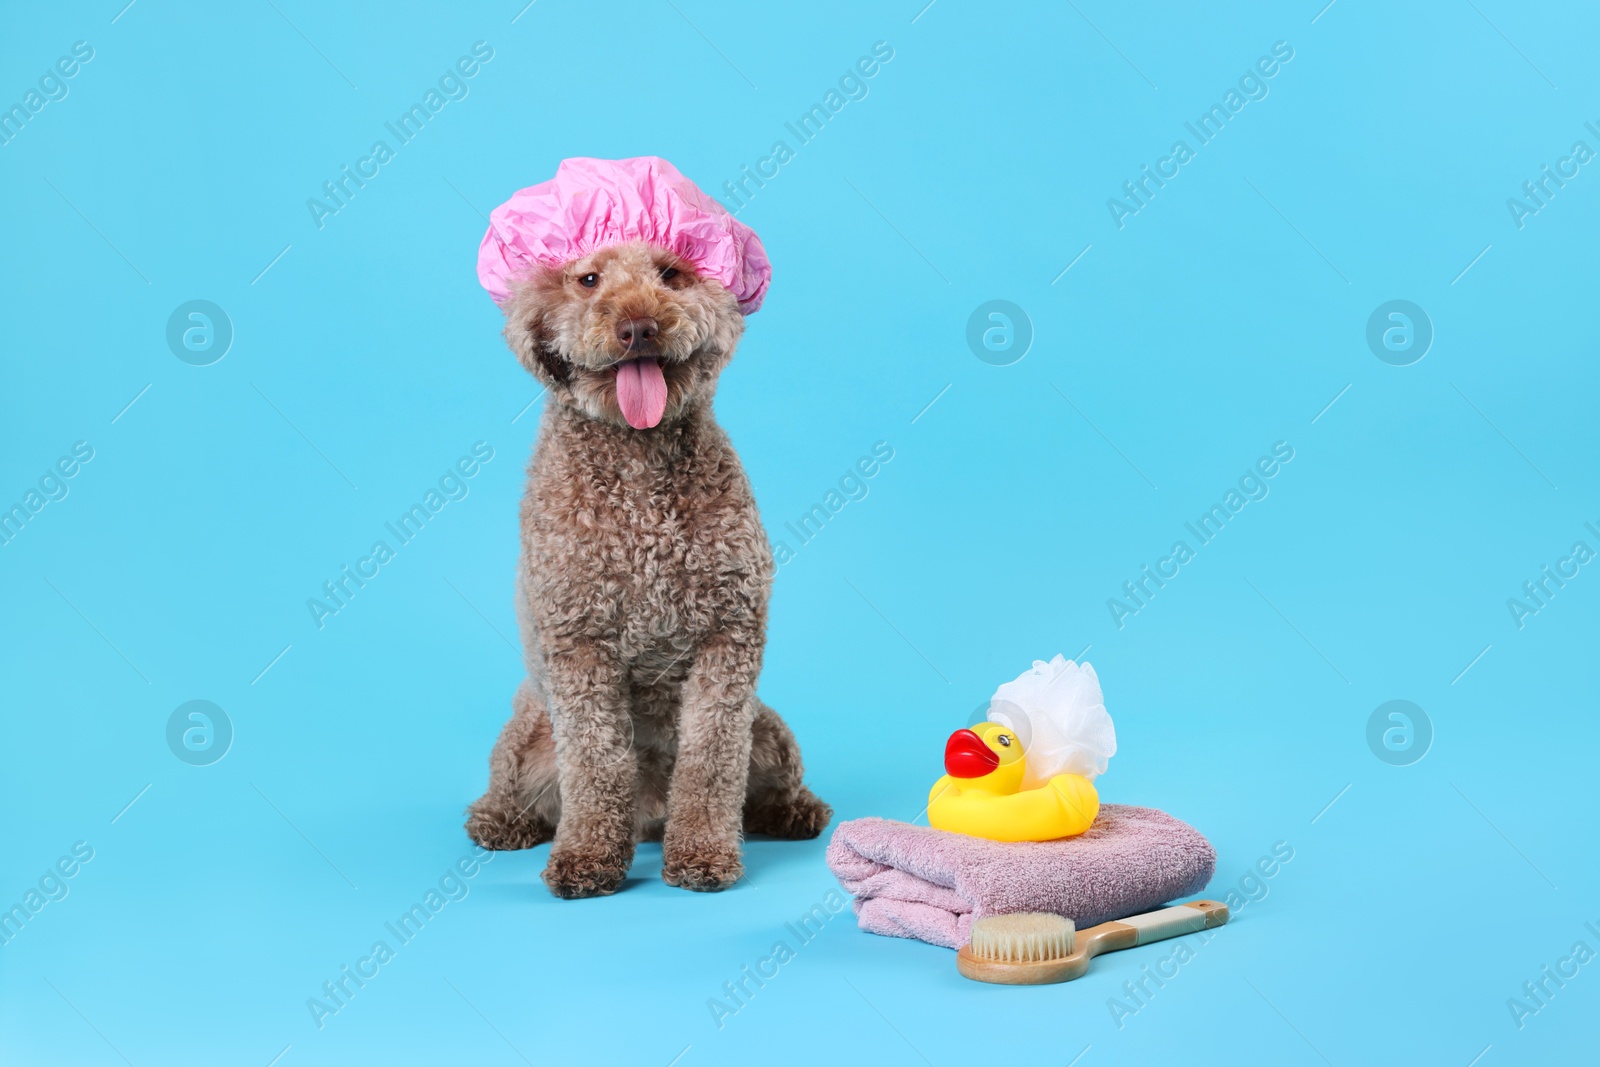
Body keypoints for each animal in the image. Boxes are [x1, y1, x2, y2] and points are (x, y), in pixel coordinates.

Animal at [464, 239, 832, 895]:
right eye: (587, 279)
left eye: (671, 273)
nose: (638, 326)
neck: (636, 462)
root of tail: (651, 816)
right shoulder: (580, 645)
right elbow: (596, 762)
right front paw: (587, 856)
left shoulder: (727, 638)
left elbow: (711, 762)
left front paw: (704, 854)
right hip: (525, 735)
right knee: (512, 786)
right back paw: (500, 820)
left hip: (766, 725)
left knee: (767, 777)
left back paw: (792, 810)